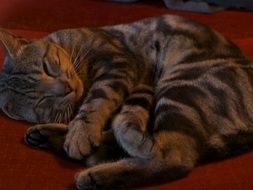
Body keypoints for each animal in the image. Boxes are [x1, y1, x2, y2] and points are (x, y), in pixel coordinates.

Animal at [0, 15, 253, 190]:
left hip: (180, 87)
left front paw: (81, 133)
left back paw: (96, 174)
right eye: (42, 100)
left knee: (173, 157)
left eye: (46, 68)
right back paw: (51, 137)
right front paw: (75, 132)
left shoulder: (119, 64)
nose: (66, 89)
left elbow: (97, 102)